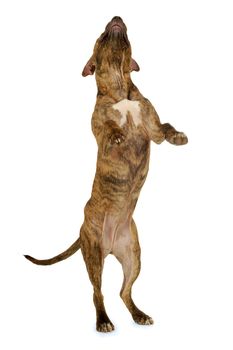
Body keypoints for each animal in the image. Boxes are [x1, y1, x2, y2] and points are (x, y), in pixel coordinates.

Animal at [24, 17, 187, 334]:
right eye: (100, 35)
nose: (116, 19)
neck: (120, 88)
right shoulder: (101, 134)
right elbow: (111, 130)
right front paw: (119, 133)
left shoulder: (153, 130)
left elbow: (166, 127)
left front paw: (179, 137)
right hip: (93, 255)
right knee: (97, 292)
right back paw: (103, 320)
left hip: (134, 256)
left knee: (124, 291)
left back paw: (139, 315)